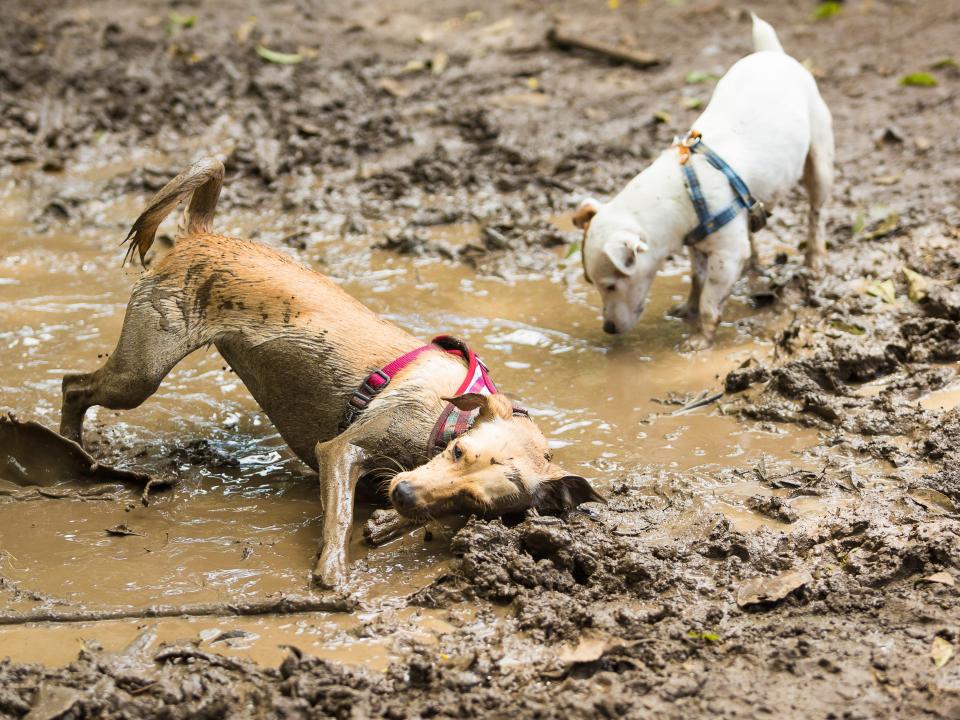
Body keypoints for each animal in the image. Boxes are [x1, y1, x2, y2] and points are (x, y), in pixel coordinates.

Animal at [58, 160, 600, 588]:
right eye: (458, 452)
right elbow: (338, 515)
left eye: (475, 500)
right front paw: (334, 569)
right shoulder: (340, 449)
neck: (444, 419)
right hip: (141, 372)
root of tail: (203, 233)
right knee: (73, 385)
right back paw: (72, 450)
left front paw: (388, 522)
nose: (403, 494)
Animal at [576, 14, 832, 352]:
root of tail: (772, 53)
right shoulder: (697, 245)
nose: (608, 328)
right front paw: (688, 309)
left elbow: (711, 300)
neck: (684, 187)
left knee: (816, 214)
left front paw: (700, 339)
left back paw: (814, 259)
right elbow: (697, 280)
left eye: (610, 285)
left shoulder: (726, 256)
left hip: (819, 161)